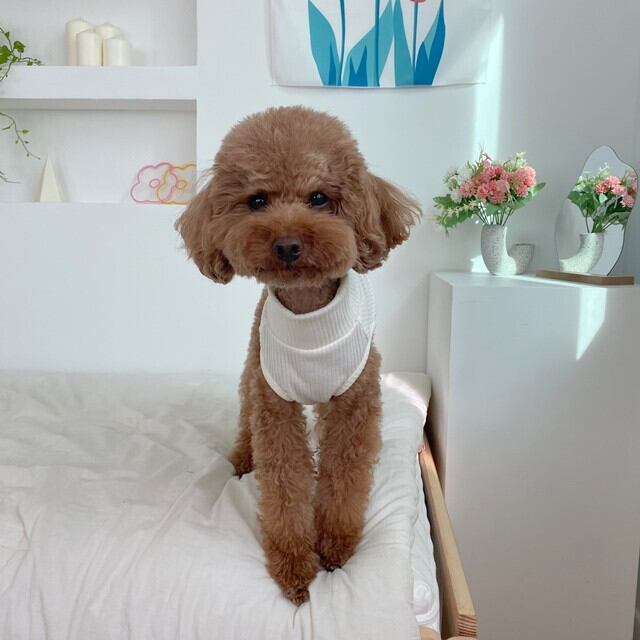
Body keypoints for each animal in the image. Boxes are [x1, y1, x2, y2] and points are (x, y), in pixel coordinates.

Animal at [176, 106, 420, 604]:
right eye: (256, 201)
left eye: (319, 197)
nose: (287, 245)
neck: (309, 315)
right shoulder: (275, 405)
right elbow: (285, 483)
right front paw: (293, 564)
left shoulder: (352, 405)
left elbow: (344, 476)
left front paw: (336, 547)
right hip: (252, 369)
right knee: (245, 416)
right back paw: (242, 458)